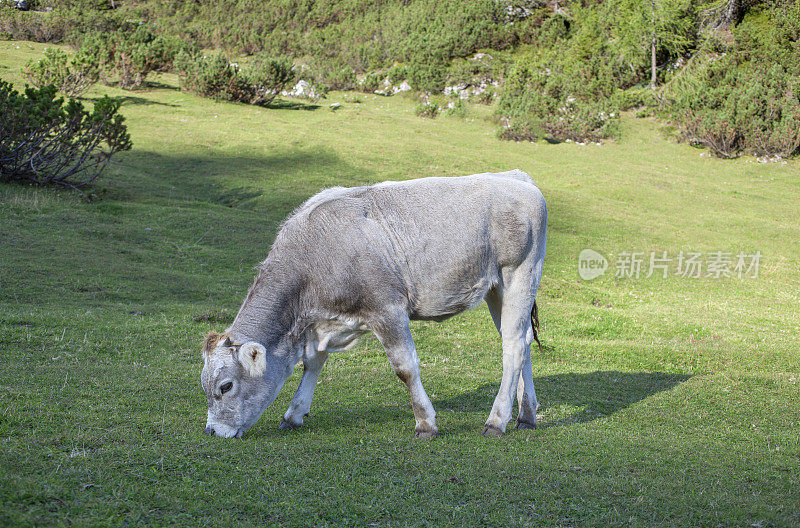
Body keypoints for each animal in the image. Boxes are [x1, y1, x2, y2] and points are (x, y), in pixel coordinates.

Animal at [203, 169, 548, 438]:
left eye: (225, 387)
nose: (213, 431)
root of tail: (516, 178)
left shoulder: (387, 309)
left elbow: (405, 368)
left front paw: (425, 423)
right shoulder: (323, 322)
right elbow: (313, 362)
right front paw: (294, 413)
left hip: (520, 273)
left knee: (513, 346)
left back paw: (497, 421)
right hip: (496, 289)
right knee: (522, 341)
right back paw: (526, 415)